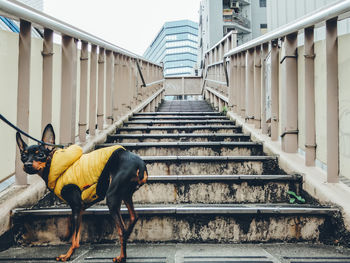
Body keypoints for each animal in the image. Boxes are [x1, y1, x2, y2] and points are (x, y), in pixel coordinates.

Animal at [16, 124, 148, 263]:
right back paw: (127, 236)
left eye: (40, 154)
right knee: (134, 217)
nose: (27, 164)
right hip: (125, 193)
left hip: (112, 197)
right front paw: (68, 237)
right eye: (23, 156)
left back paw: (122, 256)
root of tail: (140, 164)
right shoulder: (80, 207)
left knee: (121, 230)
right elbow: (73, 226)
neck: (54, 165)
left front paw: (67, 255)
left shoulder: (76, 206)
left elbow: (75, 240)